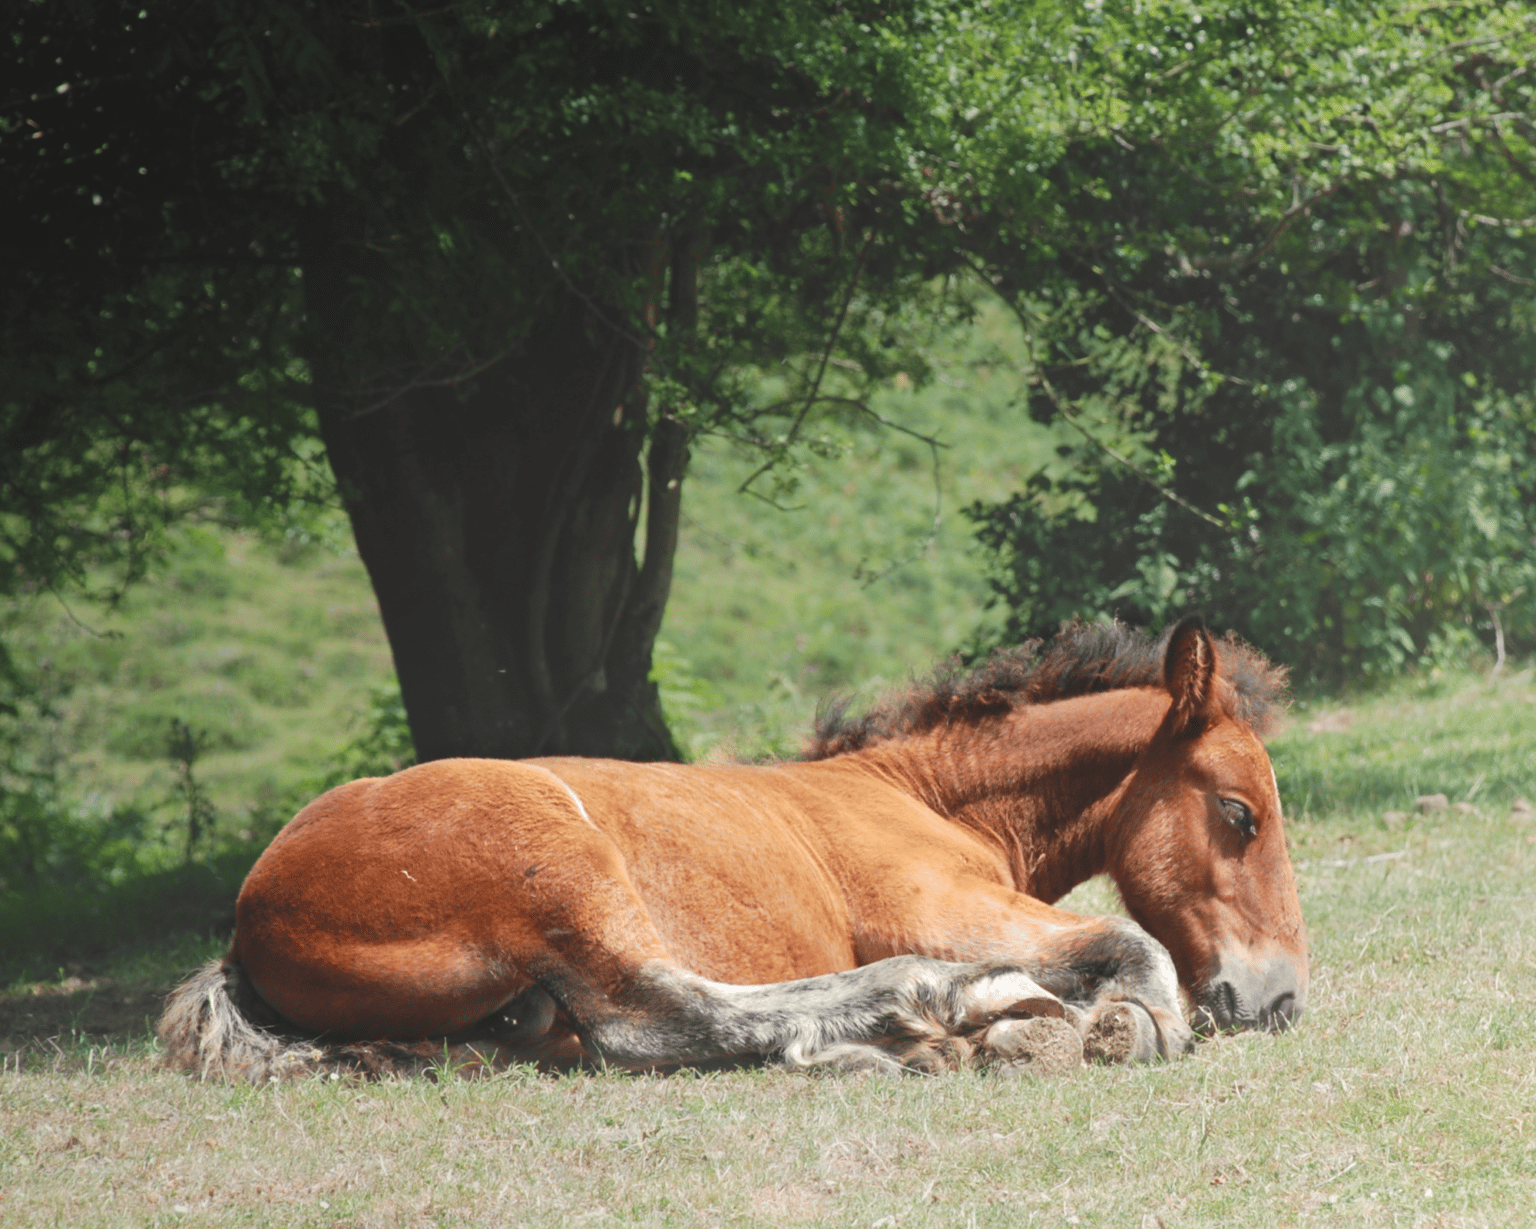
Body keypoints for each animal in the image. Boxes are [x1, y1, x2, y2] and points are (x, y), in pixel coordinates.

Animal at [158, 616, 1307, 1080]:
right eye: (1240, 813)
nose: (1284, 998)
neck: (917, 794)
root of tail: (252, 920)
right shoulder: (944, 905)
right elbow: (1130, 947)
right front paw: (1124, 1025)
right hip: (563, 870)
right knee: (651, 1012)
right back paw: (914, 1011)